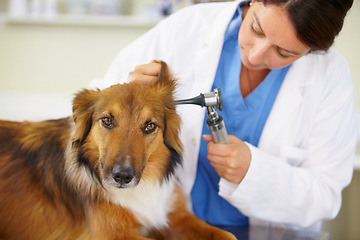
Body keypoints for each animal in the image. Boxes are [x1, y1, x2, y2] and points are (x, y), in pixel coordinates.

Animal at [0, 62, 236, 240]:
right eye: (107, 120)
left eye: (150, 126)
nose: (122, 176)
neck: (140, 189)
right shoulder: (113, 234)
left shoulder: (176, 215)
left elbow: (228, 235)